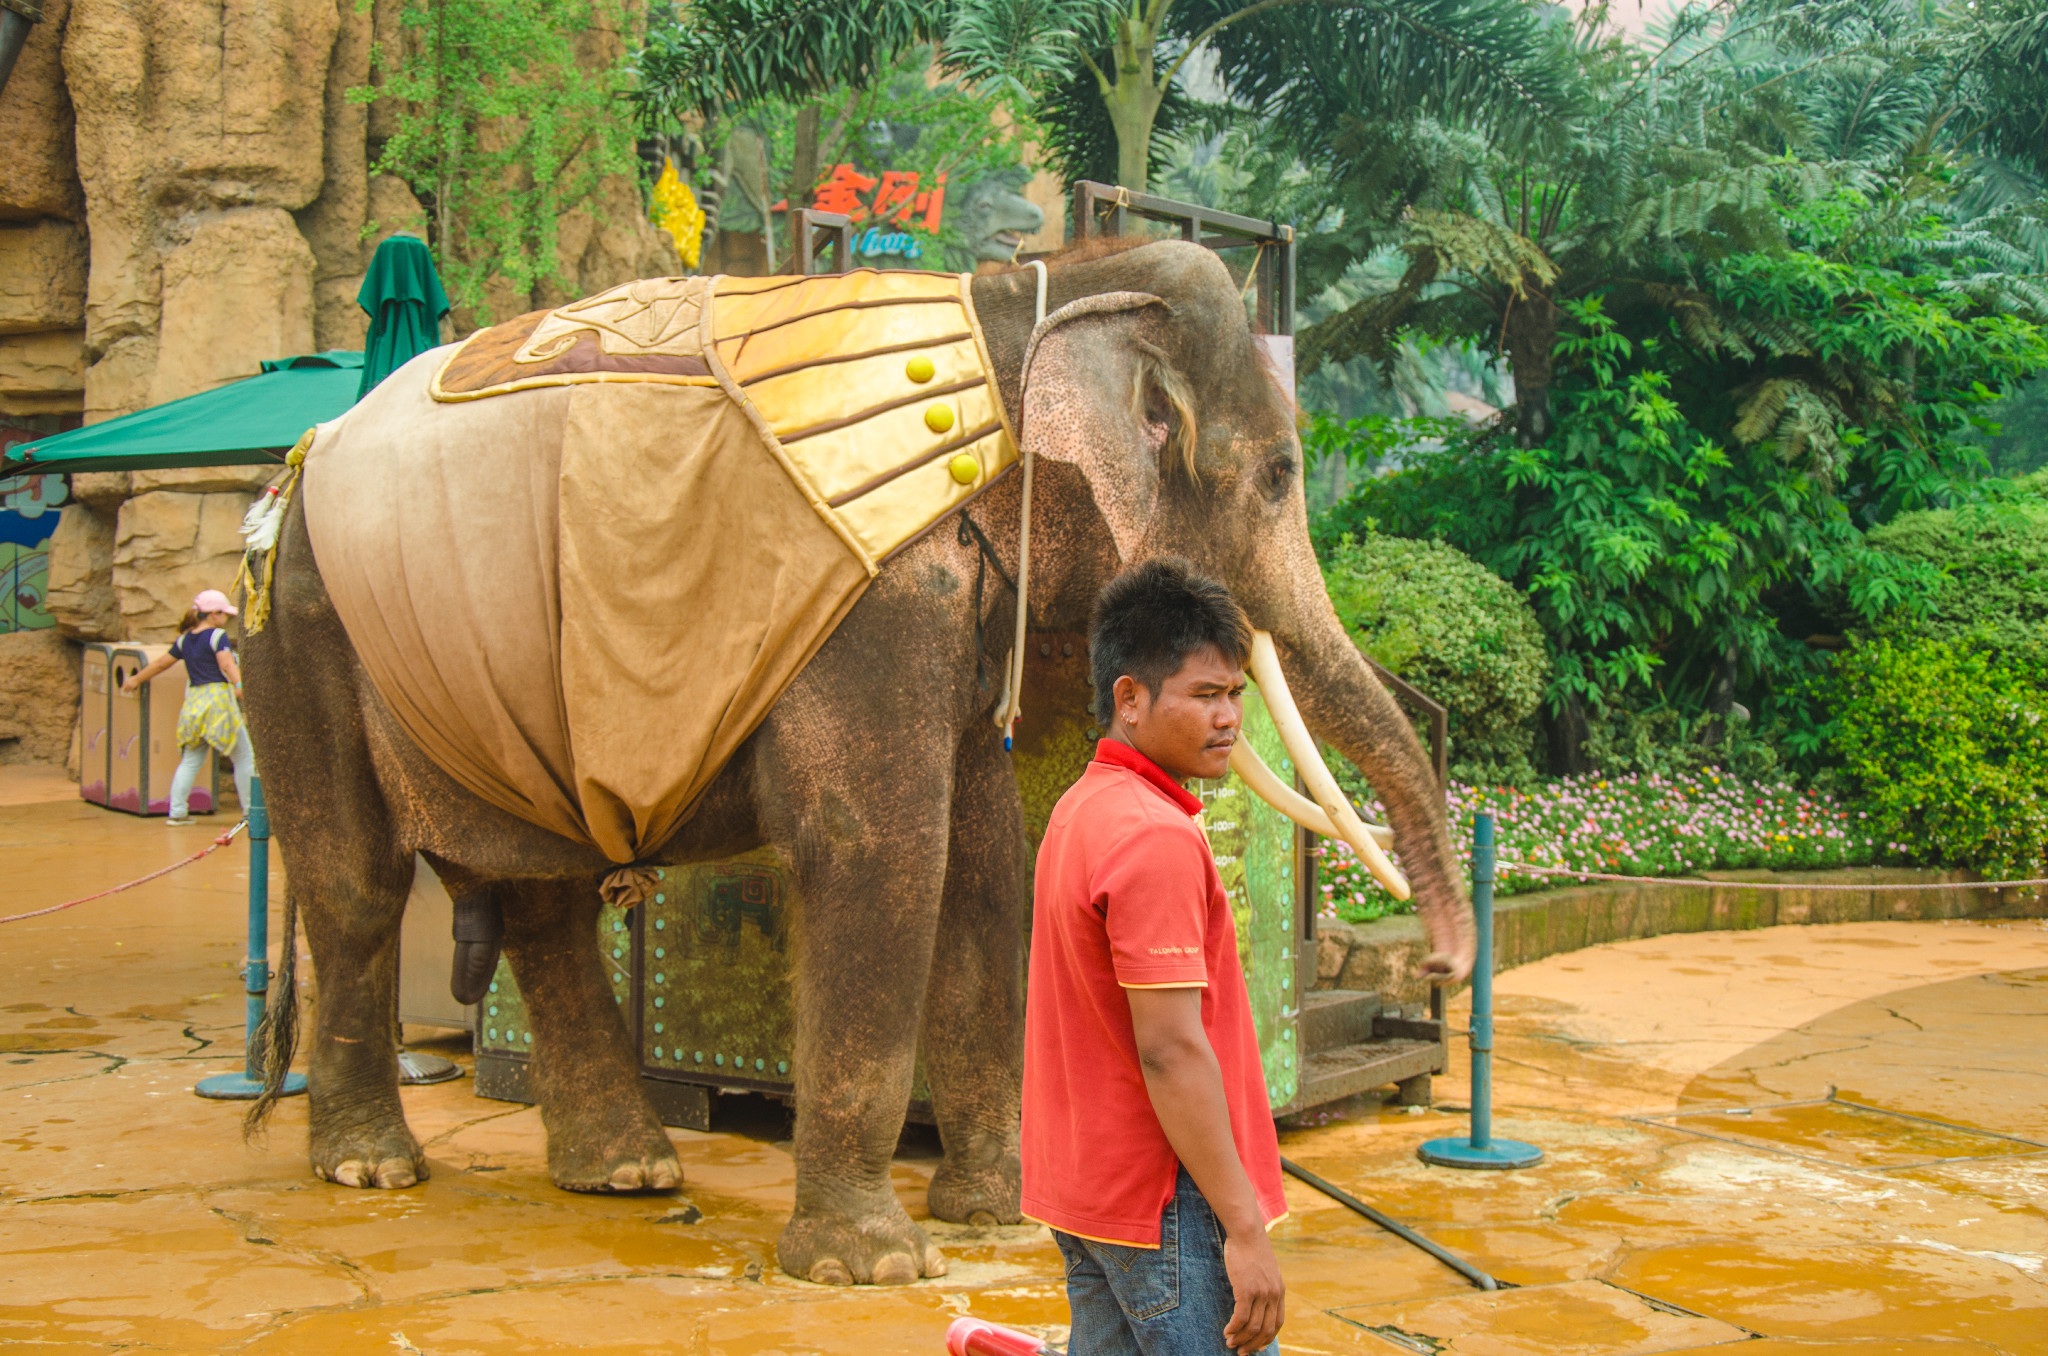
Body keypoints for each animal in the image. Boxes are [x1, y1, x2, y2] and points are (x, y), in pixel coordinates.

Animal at [243, 238, 1474, 1294]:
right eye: (1277, 475)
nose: (1443, 972)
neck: (1021, 295)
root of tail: (295, 464)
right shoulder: (880, 603)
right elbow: (881, 848)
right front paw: (871, 1266)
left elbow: (983, 859)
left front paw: (997, 1214)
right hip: (299, 631)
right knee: (358, 888)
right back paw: (371, 1167)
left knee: (544, 903)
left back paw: (626, 1172)